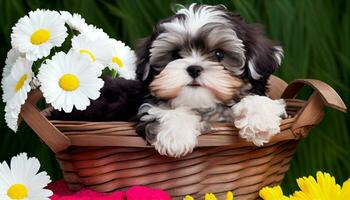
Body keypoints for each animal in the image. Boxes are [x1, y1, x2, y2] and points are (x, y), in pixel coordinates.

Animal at [135, 2, 286, 156]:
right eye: (175, 55)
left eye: (219, 54)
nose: (194, 69)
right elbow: (161, 110)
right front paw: (175, 135)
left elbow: (256, 98)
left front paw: (260, 120)